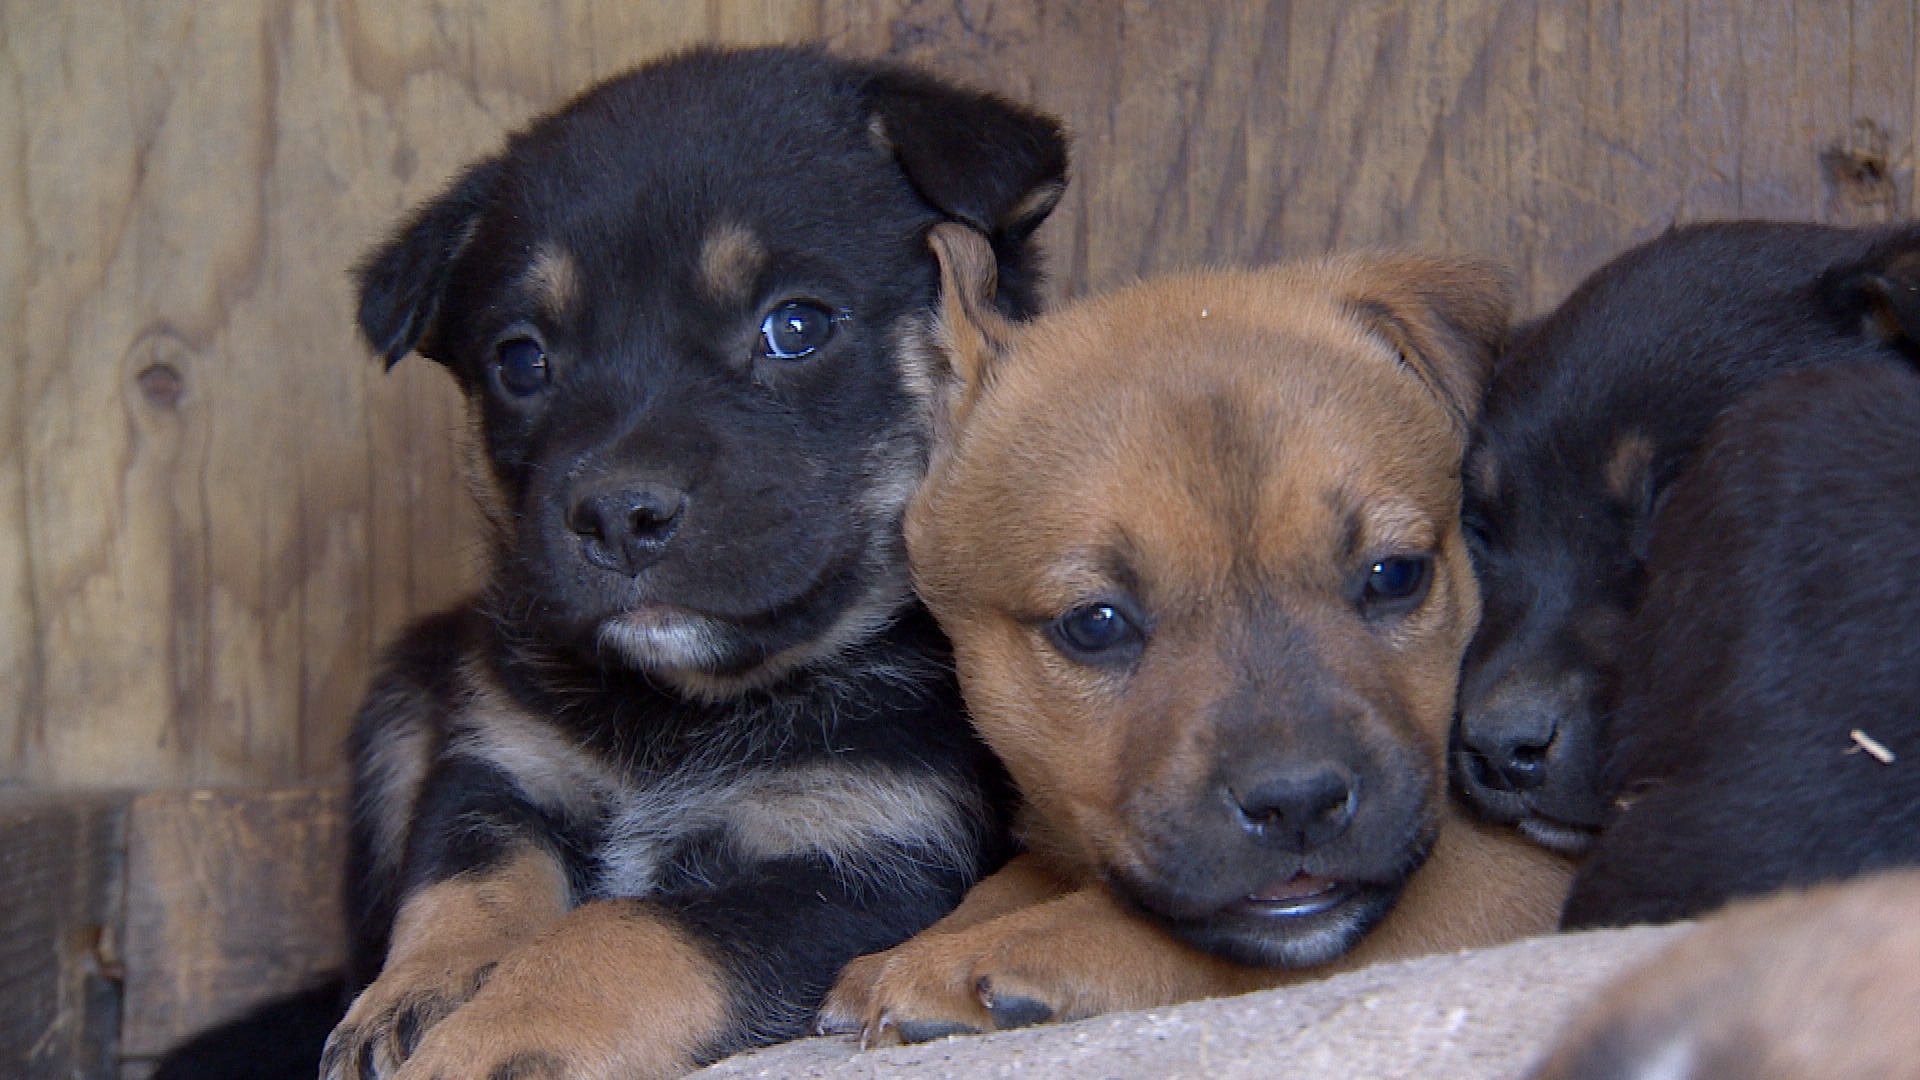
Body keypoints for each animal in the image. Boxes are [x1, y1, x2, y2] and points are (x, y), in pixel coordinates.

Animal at [151, 46, 1075, 1076]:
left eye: (795, 326)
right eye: (521, 360)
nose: (618, 517)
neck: (679, 709)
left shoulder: (870, 859)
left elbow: (628, 931)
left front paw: (500, 1033)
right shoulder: (498, 767)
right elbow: (463, 887)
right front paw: (419, 995)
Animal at [817, 224, 1566, 1037]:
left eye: (1395, 574)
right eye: (1094, 625)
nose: (1297, 802)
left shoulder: (1504, 873)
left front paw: (969, 957)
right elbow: (1016, 874)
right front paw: (931, 939)